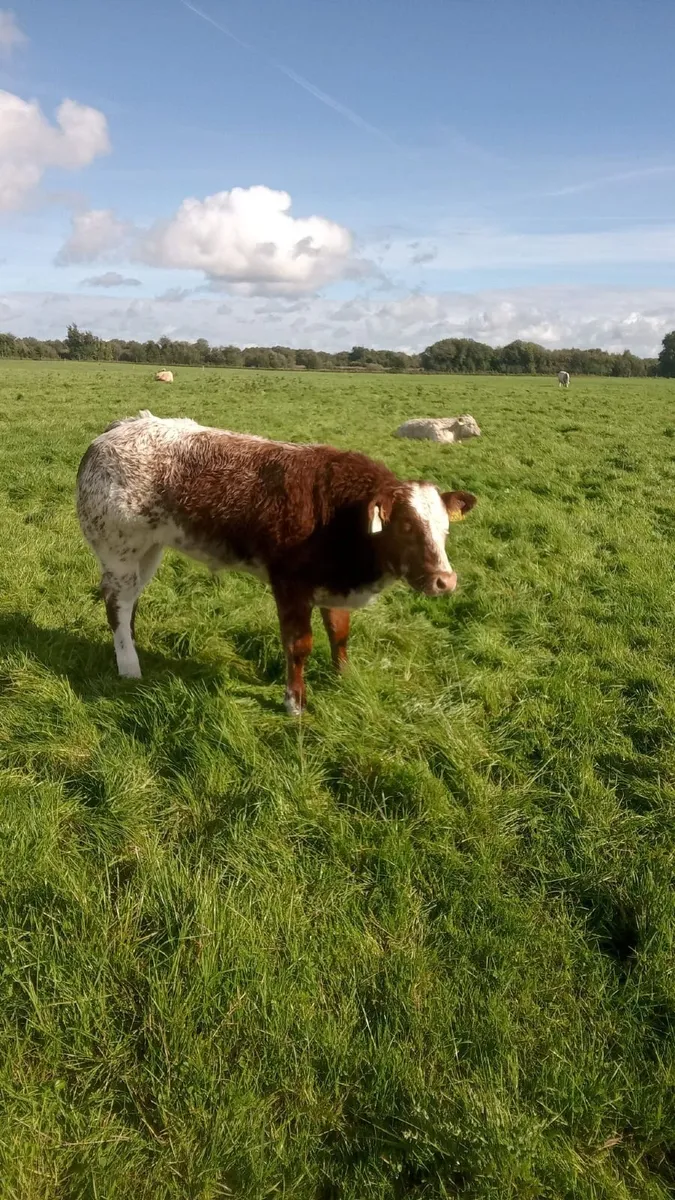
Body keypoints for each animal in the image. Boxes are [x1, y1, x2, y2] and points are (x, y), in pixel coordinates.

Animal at [76, 412, 477, 713]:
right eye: (407, 526)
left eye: (444, 528)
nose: (445, 580)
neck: (344, 515)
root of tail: (118, 428)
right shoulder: (290, 585)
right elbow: (299, 645)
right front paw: (294, 703)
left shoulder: (332, 583)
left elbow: (339, 633)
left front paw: (344, 678)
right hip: (120, 551)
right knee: (117, 604)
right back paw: (129, 666)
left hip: (148, 551)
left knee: (130, 605)